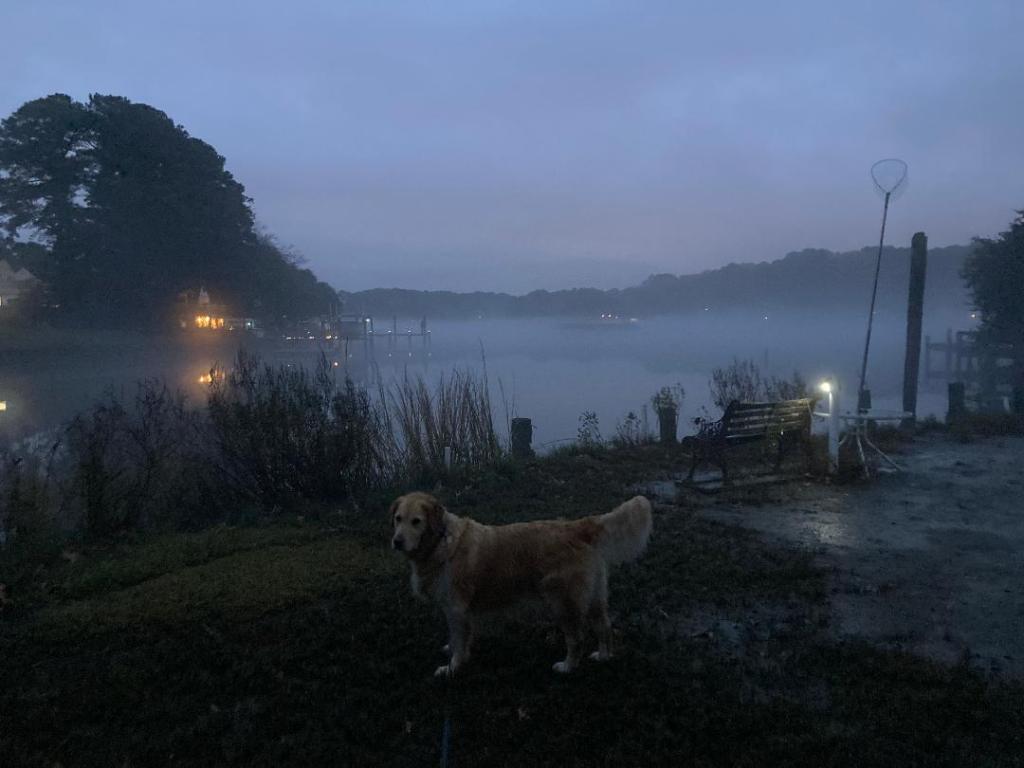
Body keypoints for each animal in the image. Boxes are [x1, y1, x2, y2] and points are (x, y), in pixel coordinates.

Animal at [389, 492, 652, 677]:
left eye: (416, 521)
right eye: (398, 519)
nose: (397, 542)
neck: (440, 543)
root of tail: (577, 526)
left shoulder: (455, 607)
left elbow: (459, 642)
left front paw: (452, 667)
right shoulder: (458, 611)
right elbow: (458, 638)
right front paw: (452, 649)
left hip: (562, 602)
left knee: (577, 639)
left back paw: (567, 667)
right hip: (595, 596)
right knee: (604, 627)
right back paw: (603, 656)